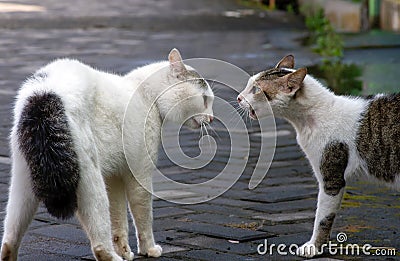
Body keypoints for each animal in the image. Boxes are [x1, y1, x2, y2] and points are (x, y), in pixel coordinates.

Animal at [1, 47, 214, 258]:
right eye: (205, 100)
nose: (211, 118)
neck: (146, 95)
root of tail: (43, 96)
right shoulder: (139, 173)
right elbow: (143, 216)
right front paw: (149, 249)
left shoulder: (114, 177)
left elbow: (118, 218)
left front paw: (125, 250)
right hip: (91, 182)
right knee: (100, 245)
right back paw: (113, 256)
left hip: (23, 185)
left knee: (9, 240)